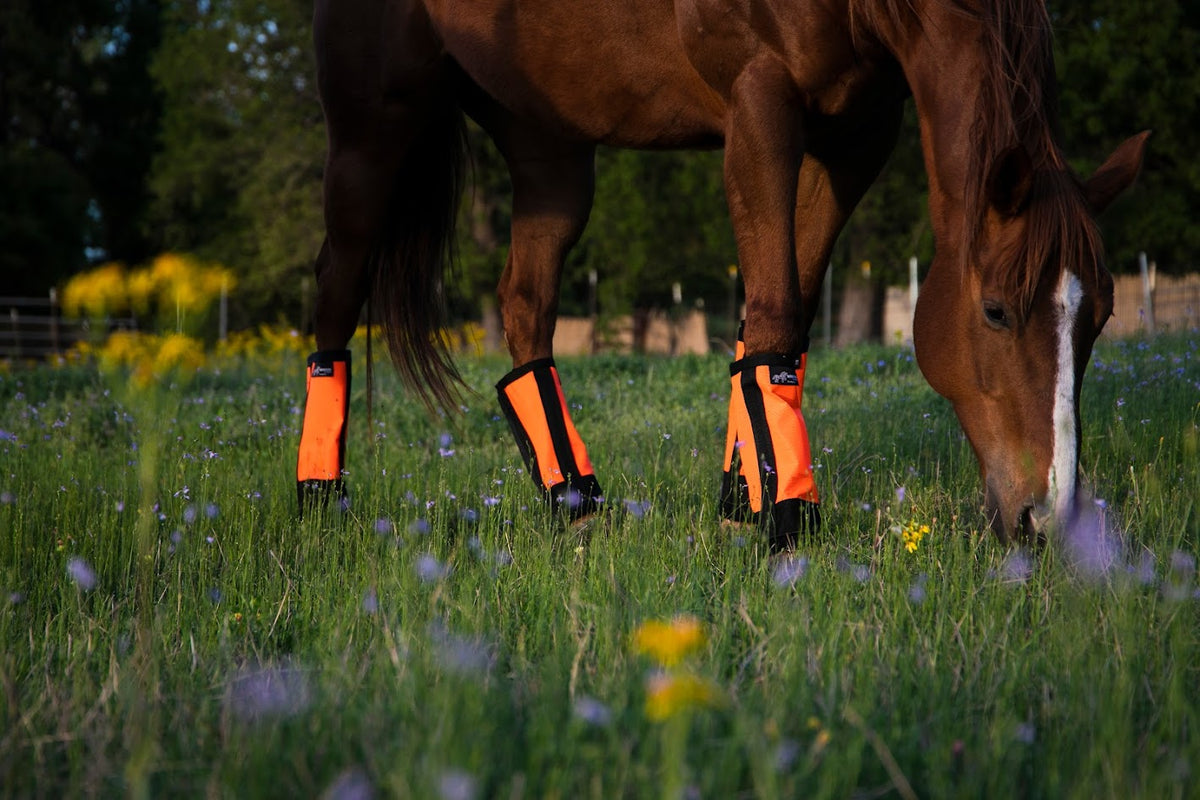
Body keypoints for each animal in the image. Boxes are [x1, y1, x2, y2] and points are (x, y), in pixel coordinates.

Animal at [295, 0, 1147, 549]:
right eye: (997, 310)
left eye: (1102, 315)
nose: (1047, 517)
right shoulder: (759, 99)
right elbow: (773, 311)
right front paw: (785, 519)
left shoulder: (856, 133)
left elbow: (780, 323)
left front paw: (744, 501)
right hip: (372, 130)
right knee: (336, 289)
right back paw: (321, 503)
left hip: (548, 146)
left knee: (524, 305)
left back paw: (576, 503)